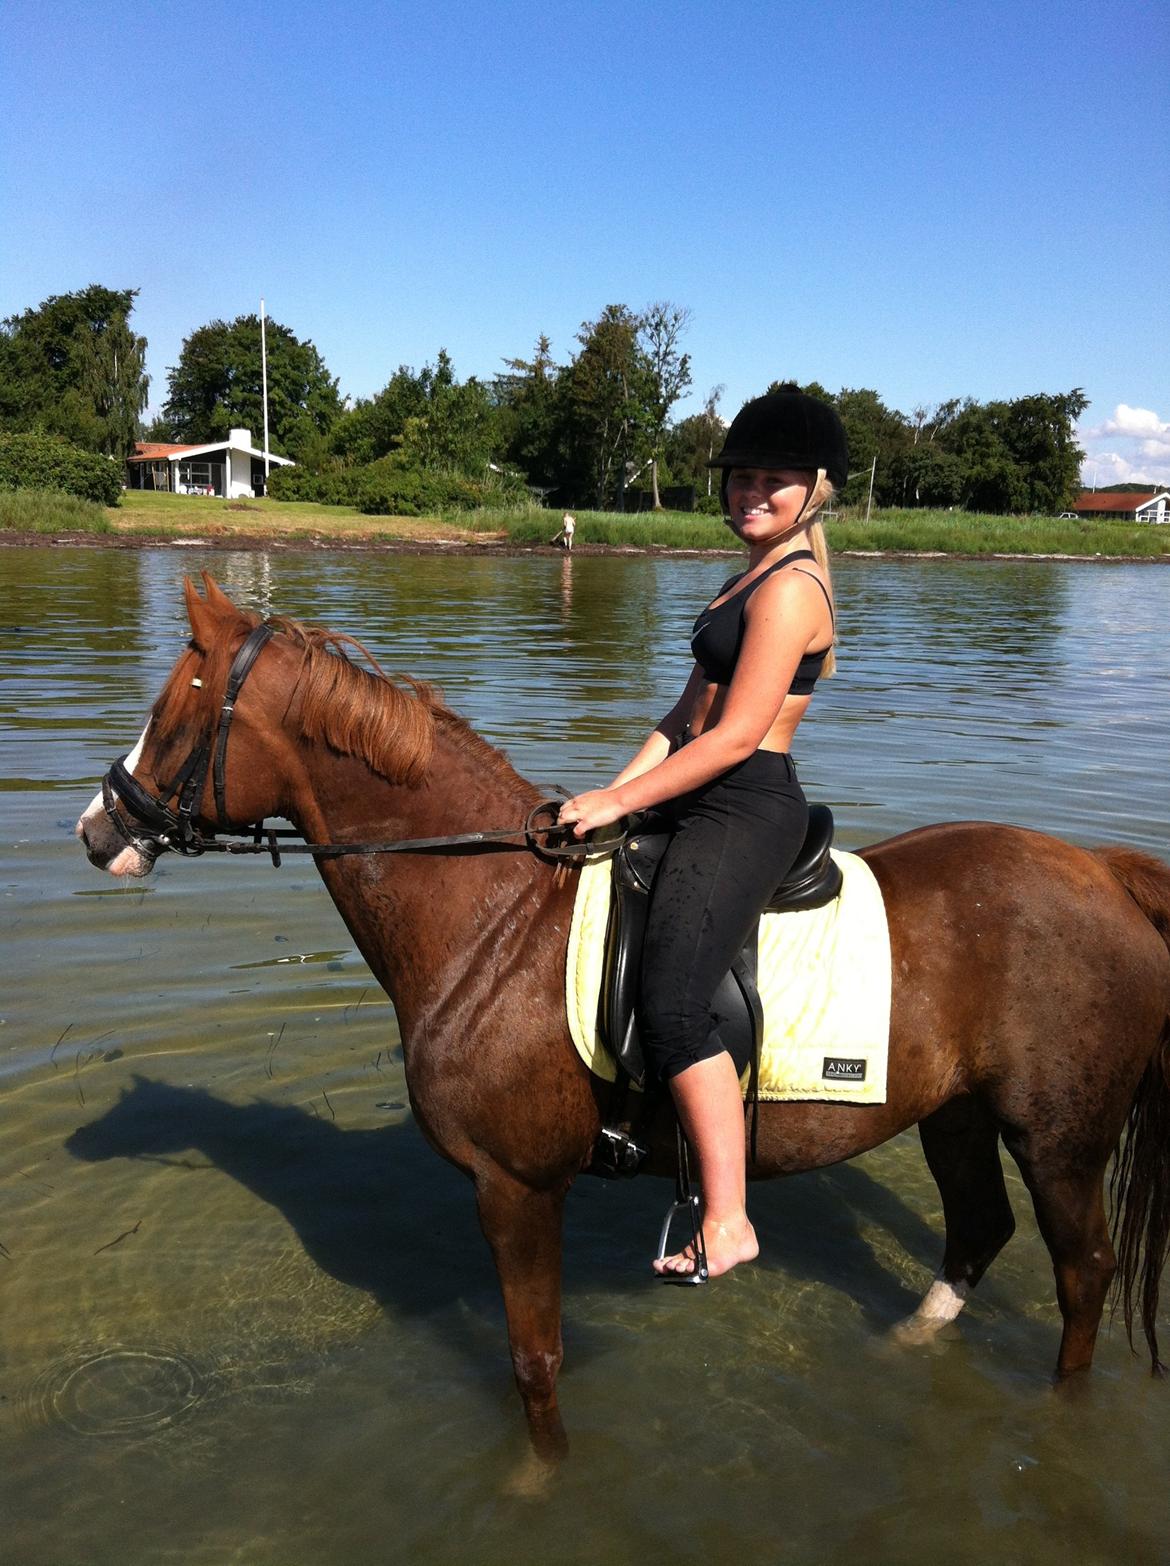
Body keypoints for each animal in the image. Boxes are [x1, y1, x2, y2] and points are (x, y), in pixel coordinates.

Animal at [76, 573, 1170, 1465]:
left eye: (170, 713)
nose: (97, 829)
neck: (494, 915)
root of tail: (1104, 871)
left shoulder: (515, 1190)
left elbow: (536, 1363)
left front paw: (540, 1480)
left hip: (1059, 1140)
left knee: (1083, 1273)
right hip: (956, 1114)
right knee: (979, 1232)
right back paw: (905, 1349)